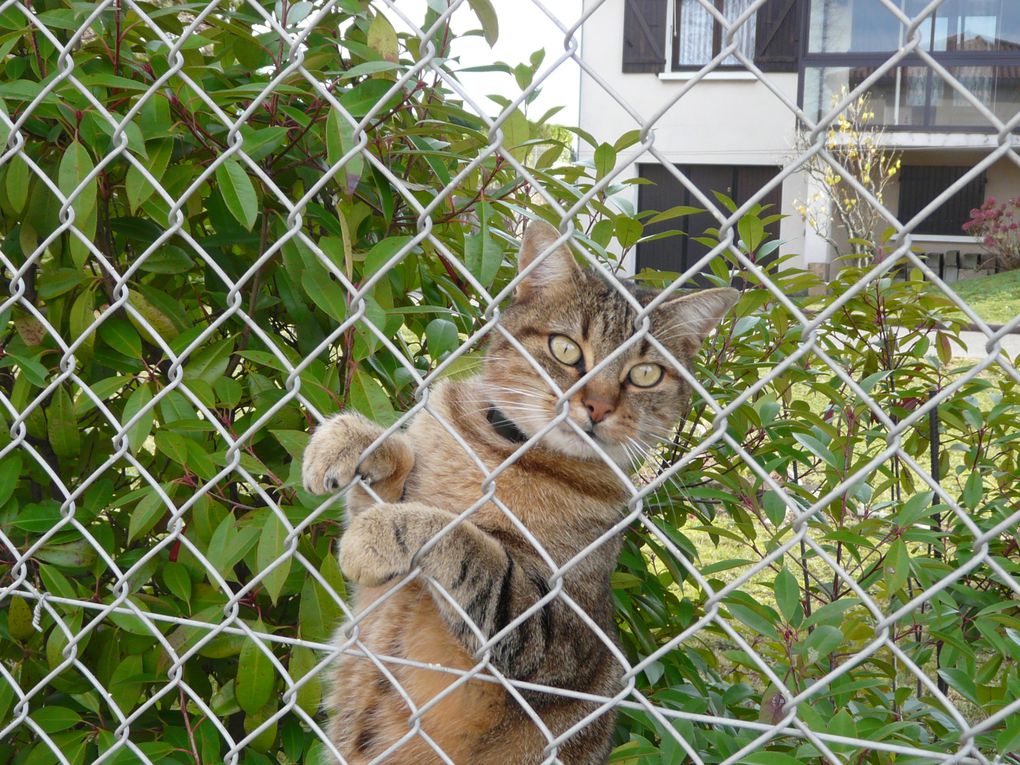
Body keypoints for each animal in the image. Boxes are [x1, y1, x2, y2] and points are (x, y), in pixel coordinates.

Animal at [297, 218, 738, 762]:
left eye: (645, 374)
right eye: (566, 348)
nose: (597, 407)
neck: (502, 453)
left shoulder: (553, 636)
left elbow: (470, 544)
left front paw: (379, 534)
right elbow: (398, 459)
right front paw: (345, 440)